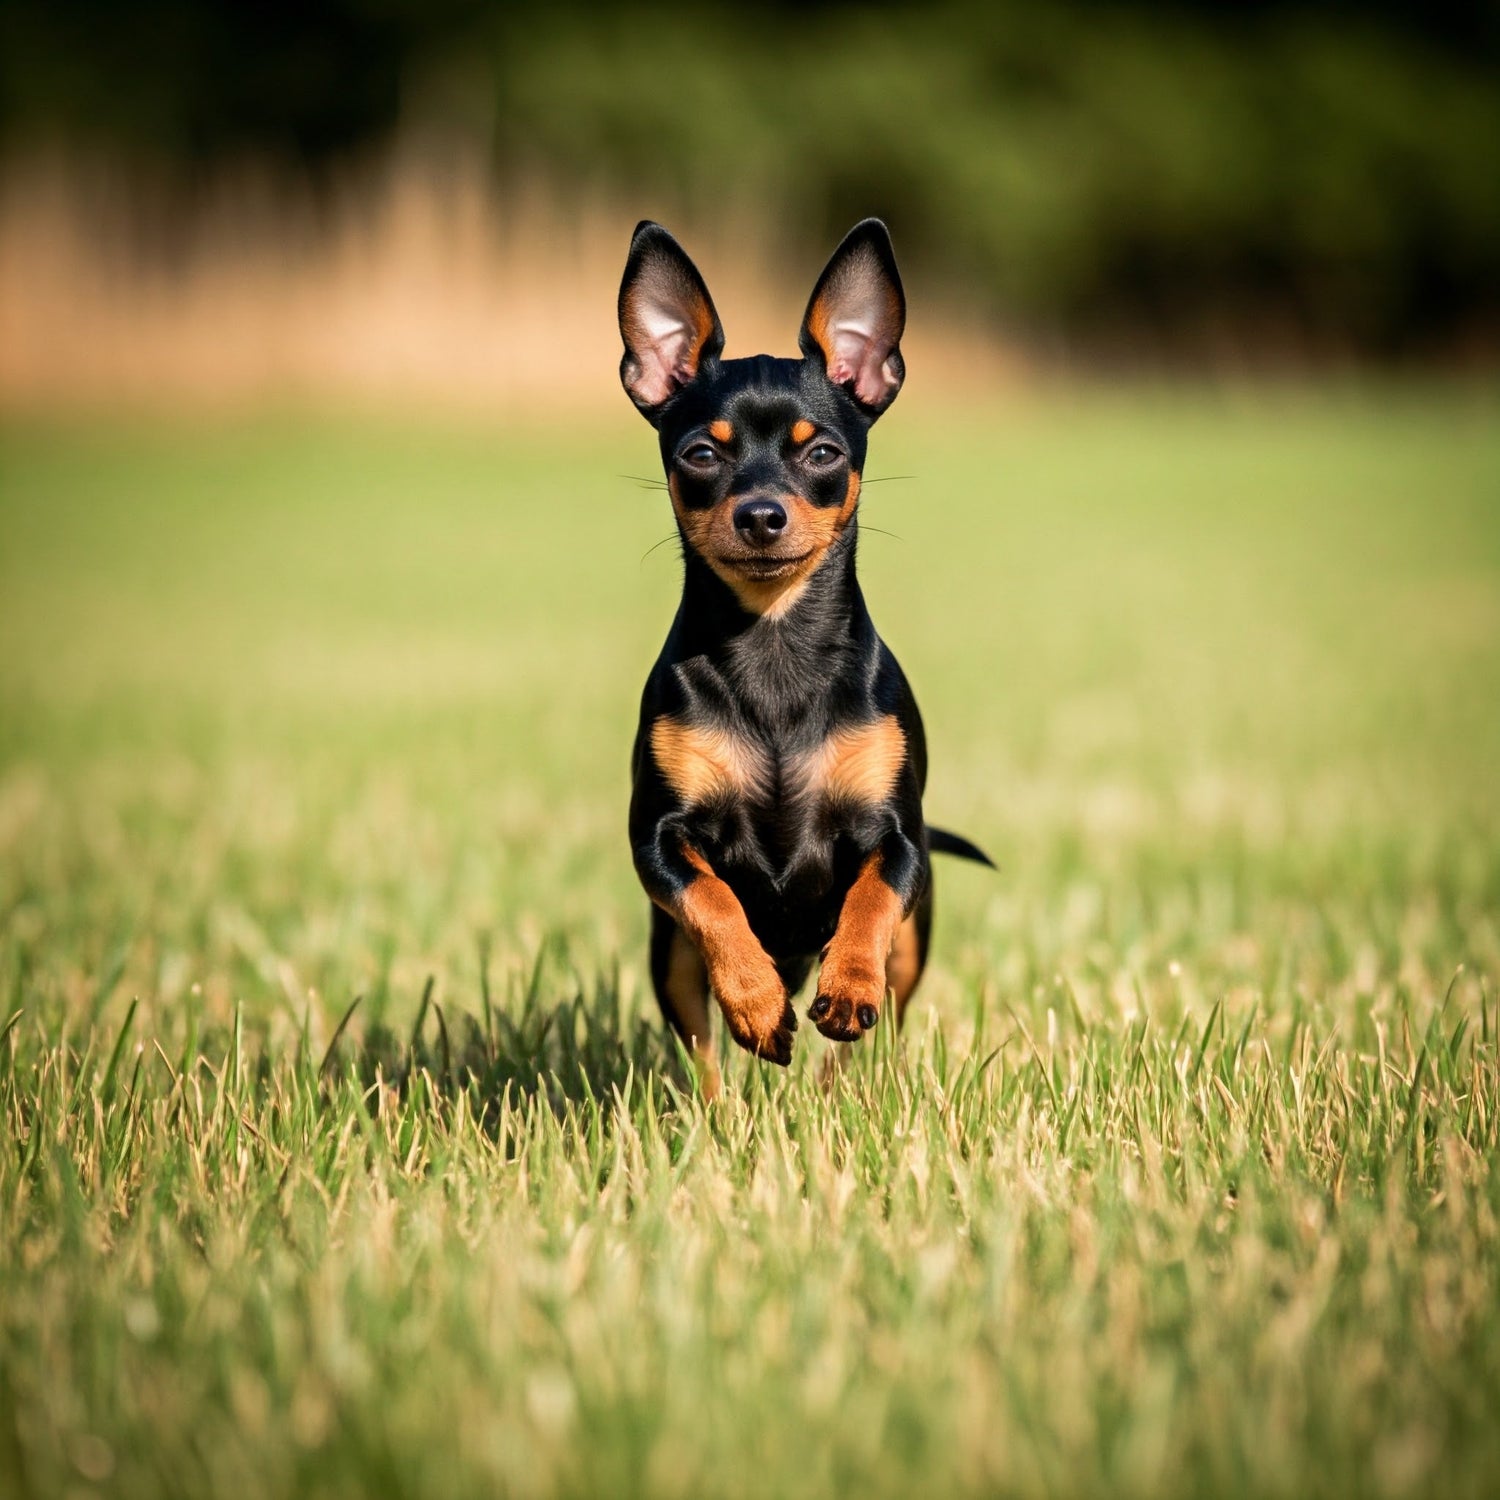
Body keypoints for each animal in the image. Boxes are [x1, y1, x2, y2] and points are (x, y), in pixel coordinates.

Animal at [615, 219, 990, 1092]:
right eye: (700, 455)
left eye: (820, 454)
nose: (760, 514)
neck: (774, 639)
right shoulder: (659, 840)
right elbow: (717, 904)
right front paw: (755, 1002)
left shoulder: (898, 839)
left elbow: (871, 902)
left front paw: (846, 983)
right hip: (667, 957)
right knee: (704, 1053)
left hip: (917, 941)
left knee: (872, 1026)